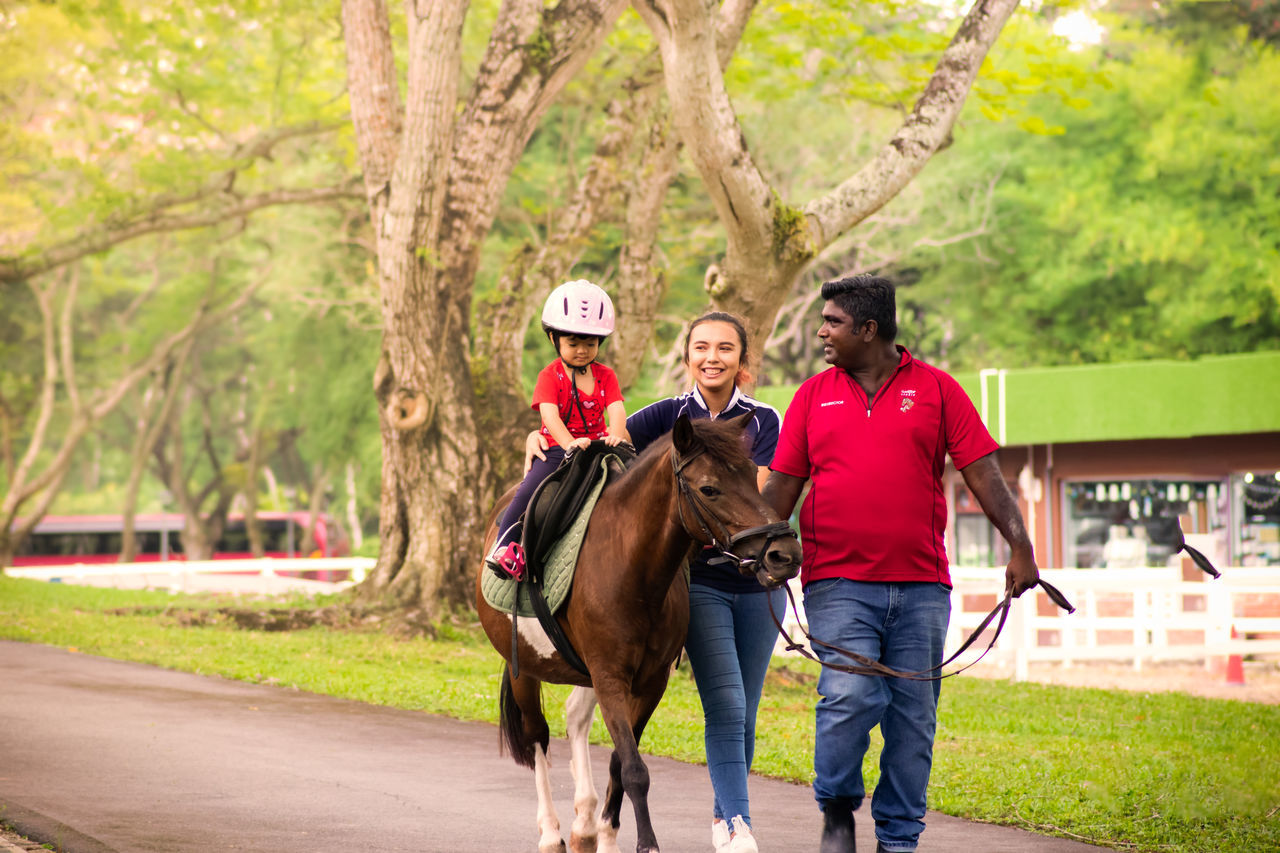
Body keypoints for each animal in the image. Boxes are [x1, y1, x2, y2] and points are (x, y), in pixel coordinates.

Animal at [478, 414, 798, 850]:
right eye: (709, 488)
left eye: (752, 475)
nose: (784, 553)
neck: (631, 567)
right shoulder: (610, 677)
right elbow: (633, 768)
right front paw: (646, 842)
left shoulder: (648, 682)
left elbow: (620, 760)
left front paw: (608, 834)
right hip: (524, 668)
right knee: (537, 736)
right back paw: (551, 832)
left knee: (575, 719)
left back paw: (584, 821)